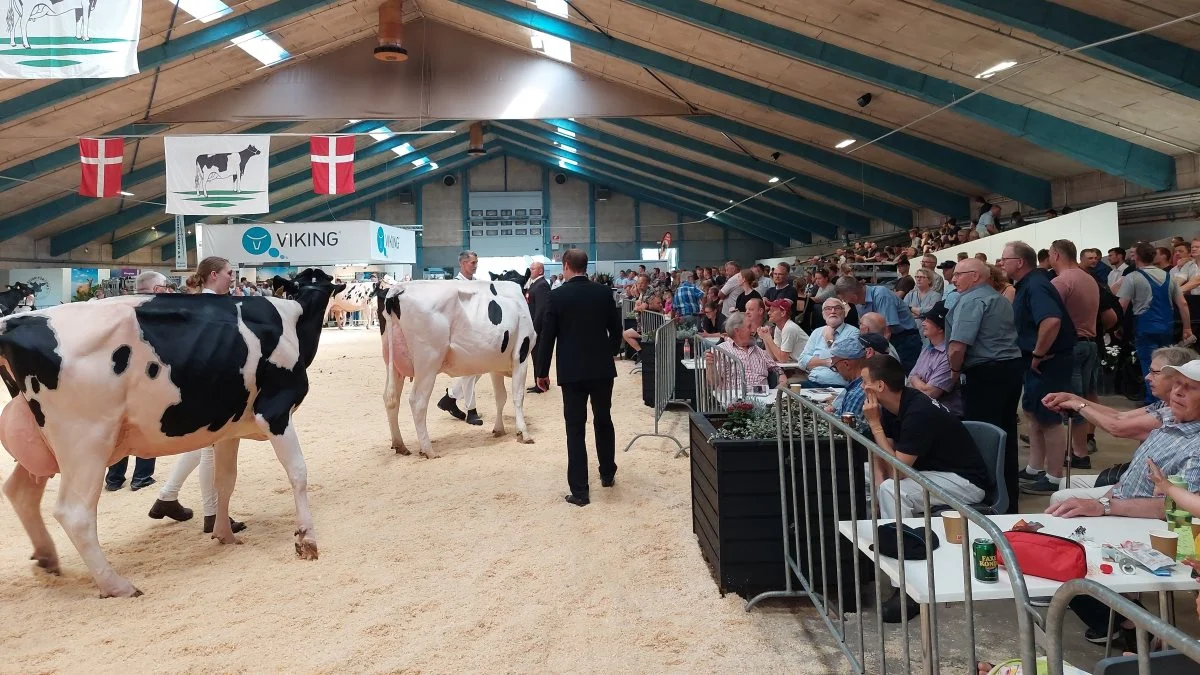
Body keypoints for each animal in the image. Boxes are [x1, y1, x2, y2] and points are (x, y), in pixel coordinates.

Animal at [1, 267, 348, 593]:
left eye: (321, 281)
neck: (293, 321)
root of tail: (15, 323)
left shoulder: (230, 428)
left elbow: (225, 481)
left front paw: (225, 534)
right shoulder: (275, 412)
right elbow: (298, 473)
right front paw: (307, 539)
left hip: (44, 442)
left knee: (20, 493)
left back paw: (47, 559)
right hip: (85, 441)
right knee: (74, 513)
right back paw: (116, 585)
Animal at [381, 276, 537, 454]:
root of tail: (398, 289)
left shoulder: (496, 366)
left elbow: (500, 397)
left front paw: (499, 429)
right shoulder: (521, 356)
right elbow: (518, 396)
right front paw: (524, 433)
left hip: (394, 364)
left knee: (391, 399)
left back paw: (400, 445)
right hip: (428, 362)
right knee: (417, 401)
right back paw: (428, 450)